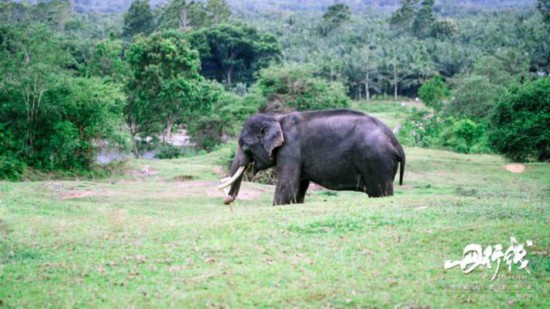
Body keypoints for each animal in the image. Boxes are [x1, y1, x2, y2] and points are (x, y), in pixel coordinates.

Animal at [219, 107, 406, 205]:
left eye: (244, 145)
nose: (227, 200)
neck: (276, 117)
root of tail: (396, 143)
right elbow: (299, 187)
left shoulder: (290, 149)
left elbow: (287, 185)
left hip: (376, 160)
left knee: (380, 192)